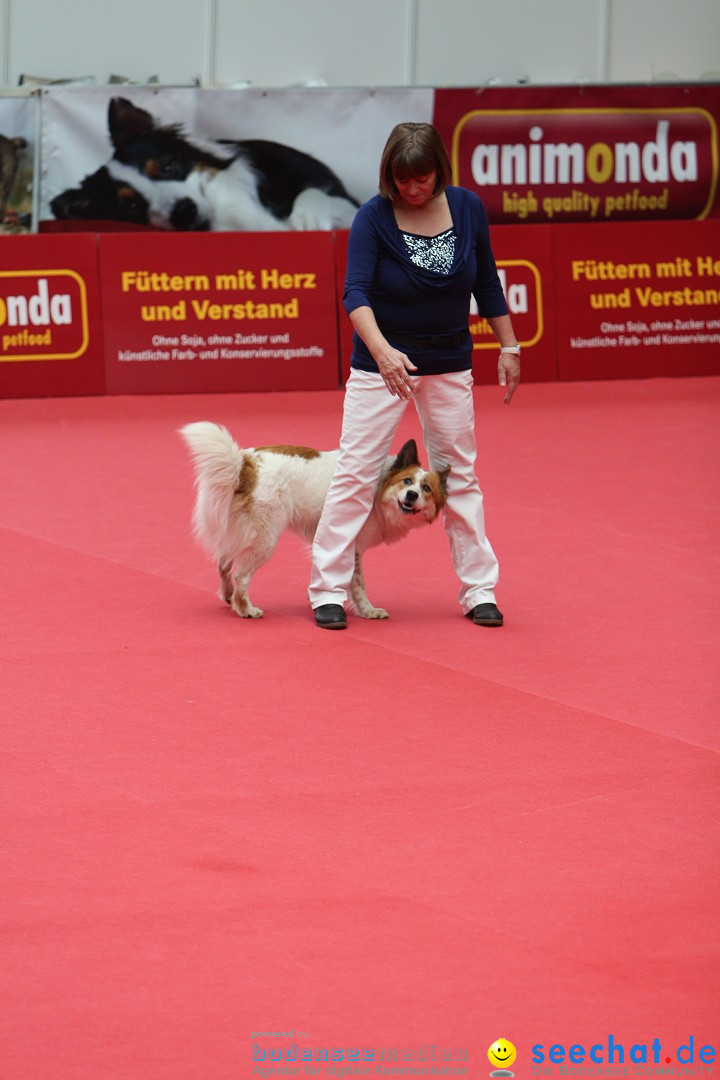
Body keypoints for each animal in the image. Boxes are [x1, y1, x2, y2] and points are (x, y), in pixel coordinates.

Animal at [180, 425, 446, 622]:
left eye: (426, 488)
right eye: (407, 481)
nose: (411, 495)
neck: (379, 489)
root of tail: (244, 464)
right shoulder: (351, 545)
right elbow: (358, 584)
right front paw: (368, 610)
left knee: (223, 564)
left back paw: (228, 597)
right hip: (265, 540)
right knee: (241, 576)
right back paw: (246, 609)